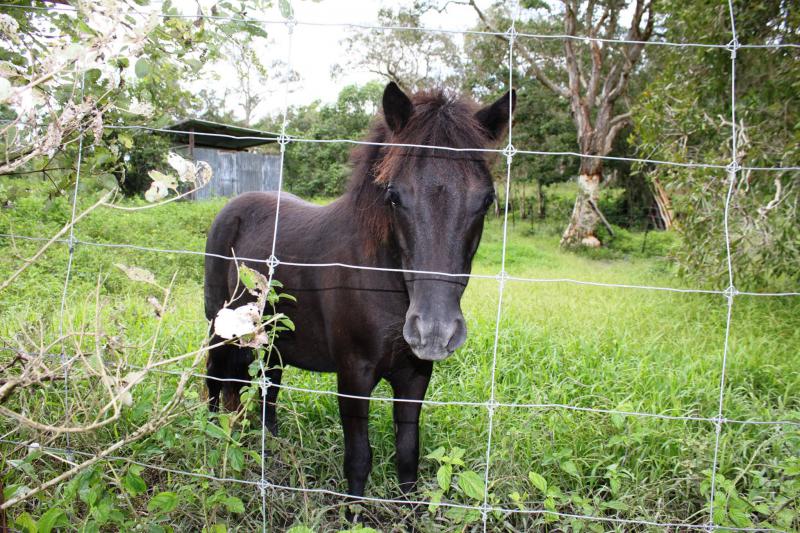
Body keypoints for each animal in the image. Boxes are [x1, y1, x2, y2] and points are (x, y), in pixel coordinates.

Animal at [203, 81, 516, 496]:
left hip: (273, 339)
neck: (384, 284)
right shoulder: (353, 375)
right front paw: (353, 509)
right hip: (219, 328)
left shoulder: (415, 375)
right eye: (394, 196)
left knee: (266, 388)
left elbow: (408, 456)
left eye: (485, 200)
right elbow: (358, 459)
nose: (434, 331)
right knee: (214, 382)